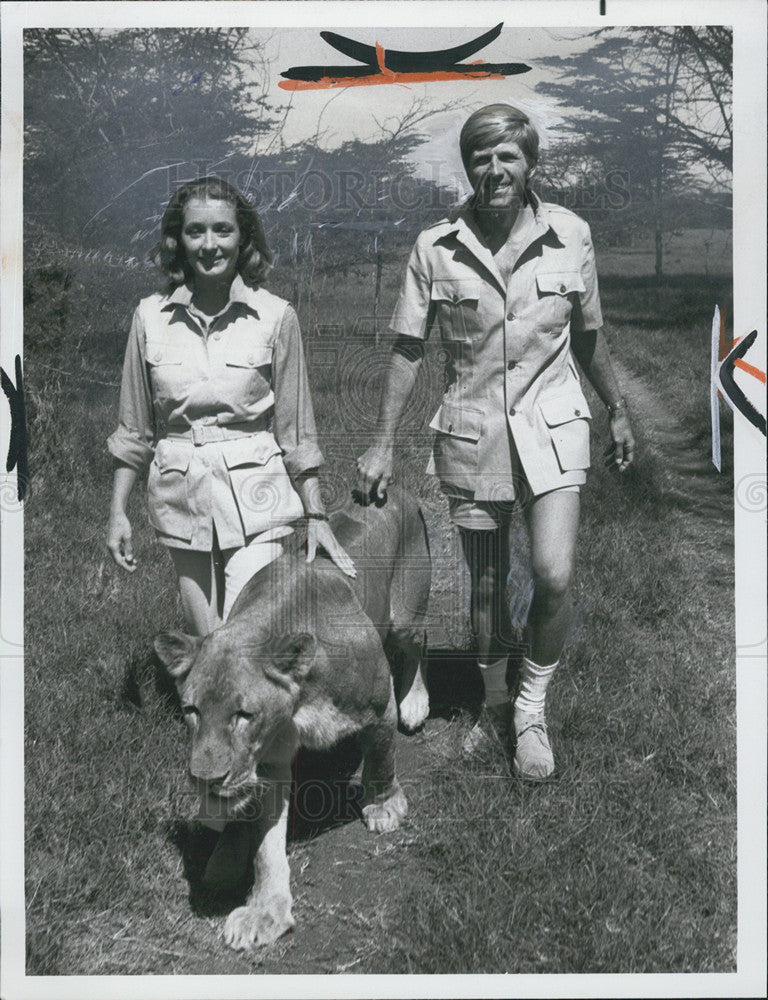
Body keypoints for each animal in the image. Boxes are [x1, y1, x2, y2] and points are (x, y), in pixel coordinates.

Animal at [154, 488, 432, 948]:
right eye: (192, 710)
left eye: (243, 715)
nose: (206, 779)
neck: (298, 702)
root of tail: (393, 490)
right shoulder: (266, 763)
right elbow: (266, 847)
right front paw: (265, 912)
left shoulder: (378, 706)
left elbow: (382, 757)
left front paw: (384, 806)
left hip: (406, 614)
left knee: (417, 644)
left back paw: (416, 702)